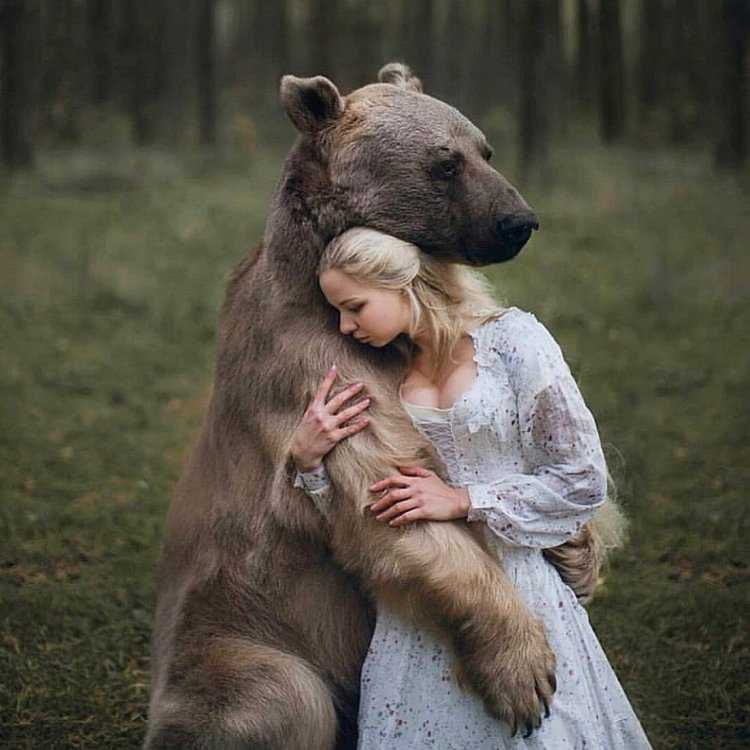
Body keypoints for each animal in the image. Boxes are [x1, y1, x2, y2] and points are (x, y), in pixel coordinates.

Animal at [144, 63, 568, 750]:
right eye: (443, 163)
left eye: (485, 149)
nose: (518, 221)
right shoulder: (316, 376)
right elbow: (389, 502)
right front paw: (523, 671)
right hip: (242, 638)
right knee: (283, 699)